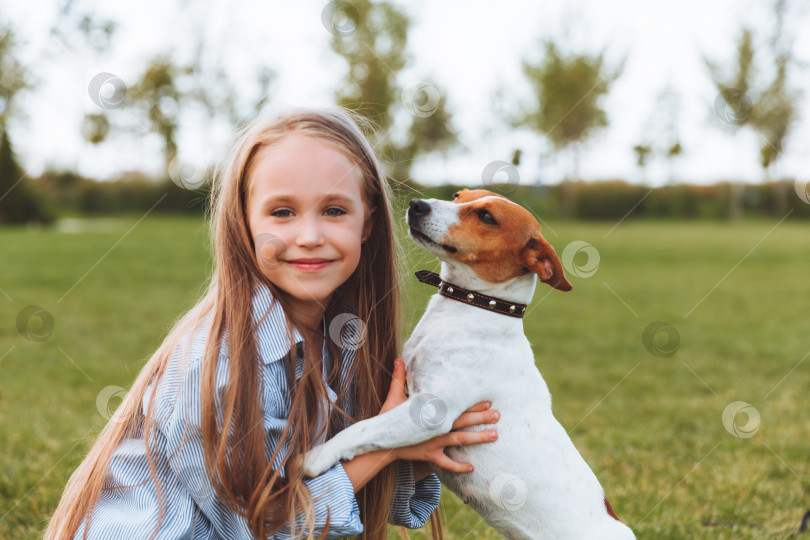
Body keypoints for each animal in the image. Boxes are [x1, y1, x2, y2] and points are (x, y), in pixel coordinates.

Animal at [302, 188, 632, 536]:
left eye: (487, 217)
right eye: (458, 195)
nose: (417, 205)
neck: (475, 308)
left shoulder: (429, 412)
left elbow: (364, 428)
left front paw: (316, 456)